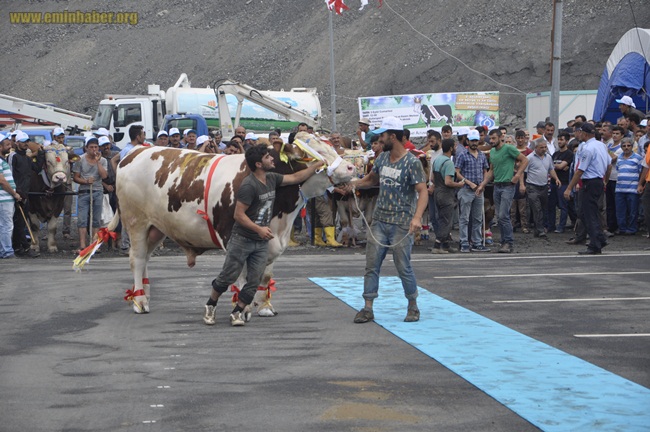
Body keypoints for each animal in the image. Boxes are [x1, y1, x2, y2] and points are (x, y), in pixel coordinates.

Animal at [110, 134, 354, 314]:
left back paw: (144, 294)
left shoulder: (272, 239)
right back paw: (140, 301)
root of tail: (136, 151)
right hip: (136, 222)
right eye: (311, 152)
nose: (351, 167)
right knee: (137, 259)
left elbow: (265, 274)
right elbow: (244, 275)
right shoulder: (233, 237)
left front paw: (264, 306)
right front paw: (242, 307)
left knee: (145, 258)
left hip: (156, 227)